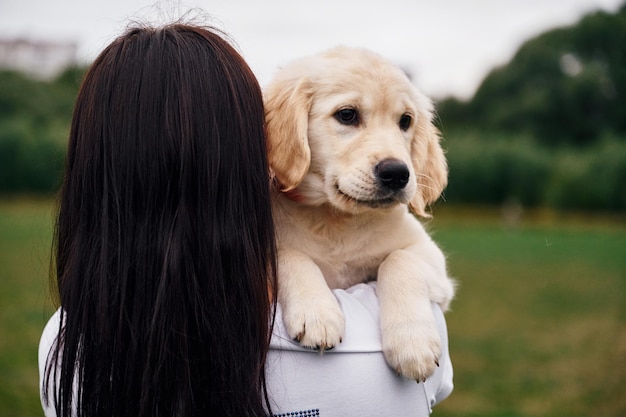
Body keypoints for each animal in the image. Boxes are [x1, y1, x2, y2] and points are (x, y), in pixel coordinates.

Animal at [262, 46, 454, 380]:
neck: (337, 221)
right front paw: (316, 312)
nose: (397, 174)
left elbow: (399, 259)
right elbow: (288, 253)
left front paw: (412, 342)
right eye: (347, 115)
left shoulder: (431, 258)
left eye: (405, 121)